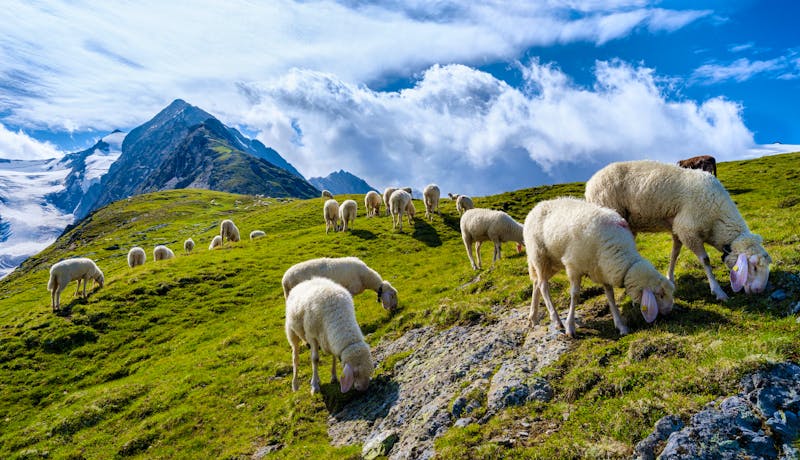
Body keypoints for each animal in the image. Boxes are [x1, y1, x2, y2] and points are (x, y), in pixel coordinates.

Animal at [524, 197, 675, 337]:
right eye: (660, 295)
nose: (670, 311)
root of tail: (536, 207)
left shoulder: (603, 270)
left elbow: (610, 296)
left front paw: (621, 326)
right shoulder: (574, 266)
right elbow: (575, 295)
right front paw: (570, 327)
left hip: (553, 263)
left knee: (537, 282)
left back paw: (533, 317)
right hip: (539, 256)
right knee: (543, 286)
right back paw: (556, 320)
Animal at [585, 160, 771, 301]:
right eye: (754, 267)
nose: (759, 291)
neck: (717, 218)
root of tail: (589, 184)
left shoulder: (678, 230)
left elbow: (674, 254)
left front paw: (670, 277)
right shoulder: (687, 229)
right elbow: (705, 260)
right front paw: (718, 291)